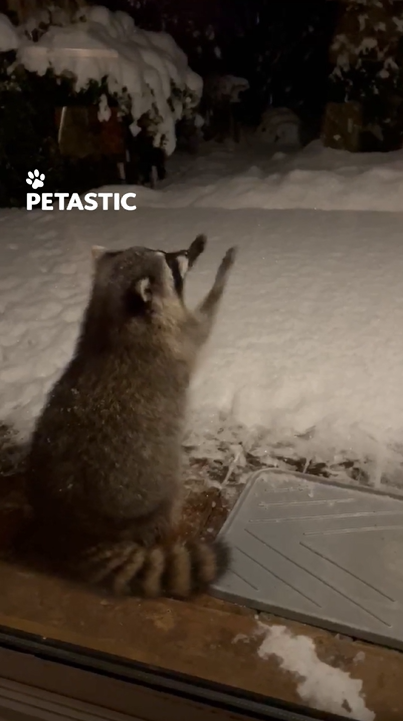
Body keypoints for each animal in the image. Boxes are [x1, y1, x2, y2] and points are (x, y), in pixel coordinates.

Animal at [25, 235, 237, 599]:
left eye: (166, 252)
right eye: (171, 263)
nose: (190, 248)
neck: (111, 314)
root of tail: (77, 531)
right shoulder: (179, 334)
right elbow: (206, 319)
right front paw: (222, 275)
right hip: (154, 485)